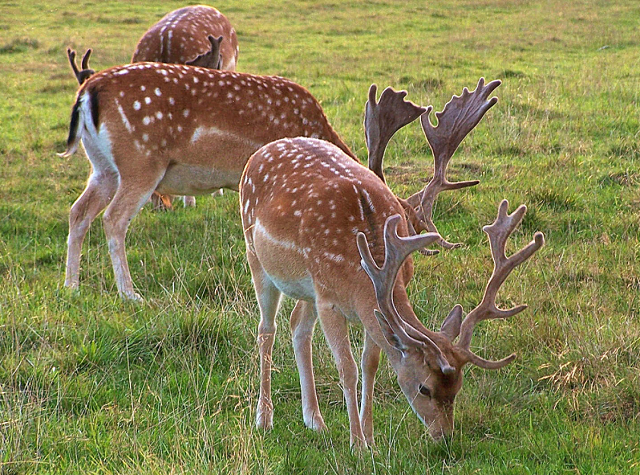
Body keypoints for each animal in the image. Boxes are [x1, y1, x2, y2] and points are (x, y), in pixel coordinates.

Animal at [59, 62, 356, 302]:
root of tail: (88, 91)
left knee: (78, 212)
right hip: (140, 161)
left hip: (103, 167)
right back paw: (130, 294)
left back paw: (72, 287)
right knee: (114, 218)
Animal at [240, 77, 544, 446]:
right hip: (256, 256)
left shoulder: (365, 306)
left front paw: (370, 438)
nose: (444, 436)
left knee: (298, 325)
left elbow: (370, 363)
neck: (362, 270)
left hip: (305, 285)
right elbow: (347, 367)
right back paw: (264, 418)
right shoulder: (328, 300)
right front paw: (356, 443)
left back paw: (315, 420)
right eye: (424, 388)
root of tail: (261, 152)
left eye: (458, 387)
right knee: (266, 329)